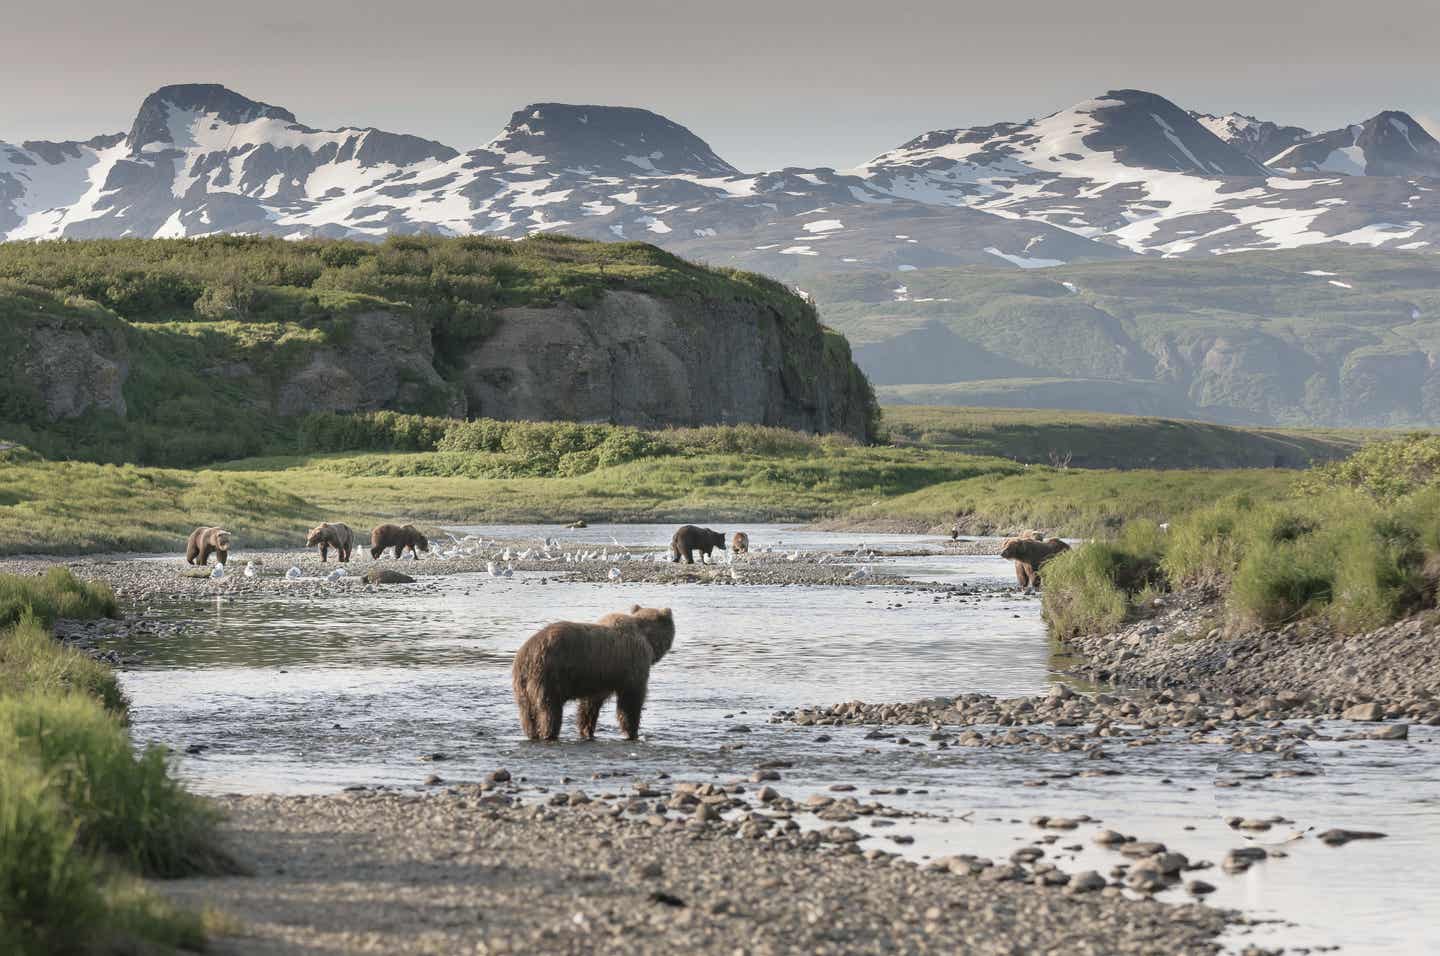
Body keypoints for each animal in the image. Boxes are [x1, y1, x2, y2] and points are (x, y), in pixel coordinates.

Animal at [515, 607, 676, 742]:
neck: (647, 637)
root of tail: (527, 653)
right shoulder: (632, 665)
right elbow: (631, 701)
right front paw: (633, 732)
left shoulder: (599, 678)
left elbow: (590, 706)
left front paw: (587, 731)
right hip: (549, 675)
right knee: (549, 710)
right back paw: (549, 733)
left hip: (522, 684)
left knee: (527, 713)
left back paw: (532, 734)